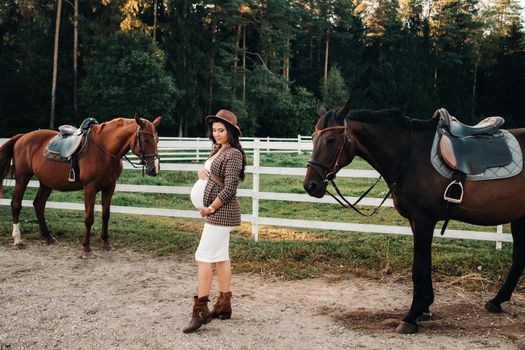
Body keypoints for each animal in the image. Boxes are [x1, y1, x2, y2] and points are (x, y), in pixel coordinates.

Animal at [0, 116, 160, 256]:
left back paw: (48, 237)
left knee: (39, 205)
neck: (104, 150)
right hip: (23, 177)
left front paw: (106, 243)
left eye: (157, 139)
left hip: (45, 183)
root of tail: (22, 137)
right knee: (16, 203)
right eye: (145, 139)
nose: (154, 169)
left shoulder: (109, 187)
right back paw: (18, 240)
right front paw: (87, 248)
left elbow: (106, 215)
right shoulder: (90, 188)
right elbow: (89, 218)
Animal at [302, 100, 524, 334]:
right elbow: (424, 265)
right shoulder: (416, 222)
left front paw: (411, 316)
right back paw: (496, 301)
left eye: (331, 139)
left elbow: (419, 268)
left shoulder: (423, 219)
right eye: (313, 137)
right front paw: (424, 307)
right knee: (519, 258)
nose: (310, 185)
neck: (410, 156)